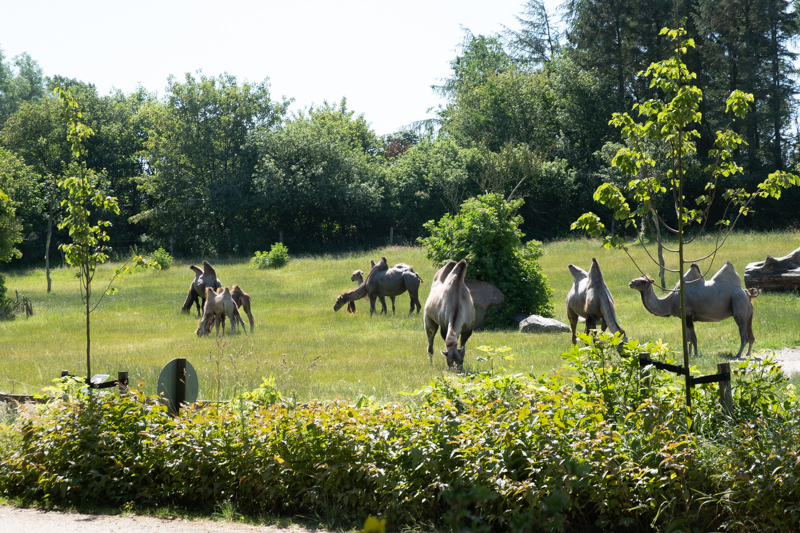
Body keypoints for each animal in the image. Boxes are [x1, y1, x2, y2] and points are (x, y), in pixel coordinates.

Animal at [628, 262, 760, 358]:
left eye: (643, 281)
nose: (631, 282)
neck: (670, 300)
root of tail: (747, 293)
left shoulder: (688, 315)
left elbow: (693, 338)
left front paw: (695, 354)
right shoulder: (685, 318)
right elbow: (688, 338)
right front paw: (690, 354)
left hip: (739, 305)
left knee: (744, 336)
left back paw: (738, 355)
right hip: (749, 313)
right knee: (751, 335)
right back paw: (748, 354)